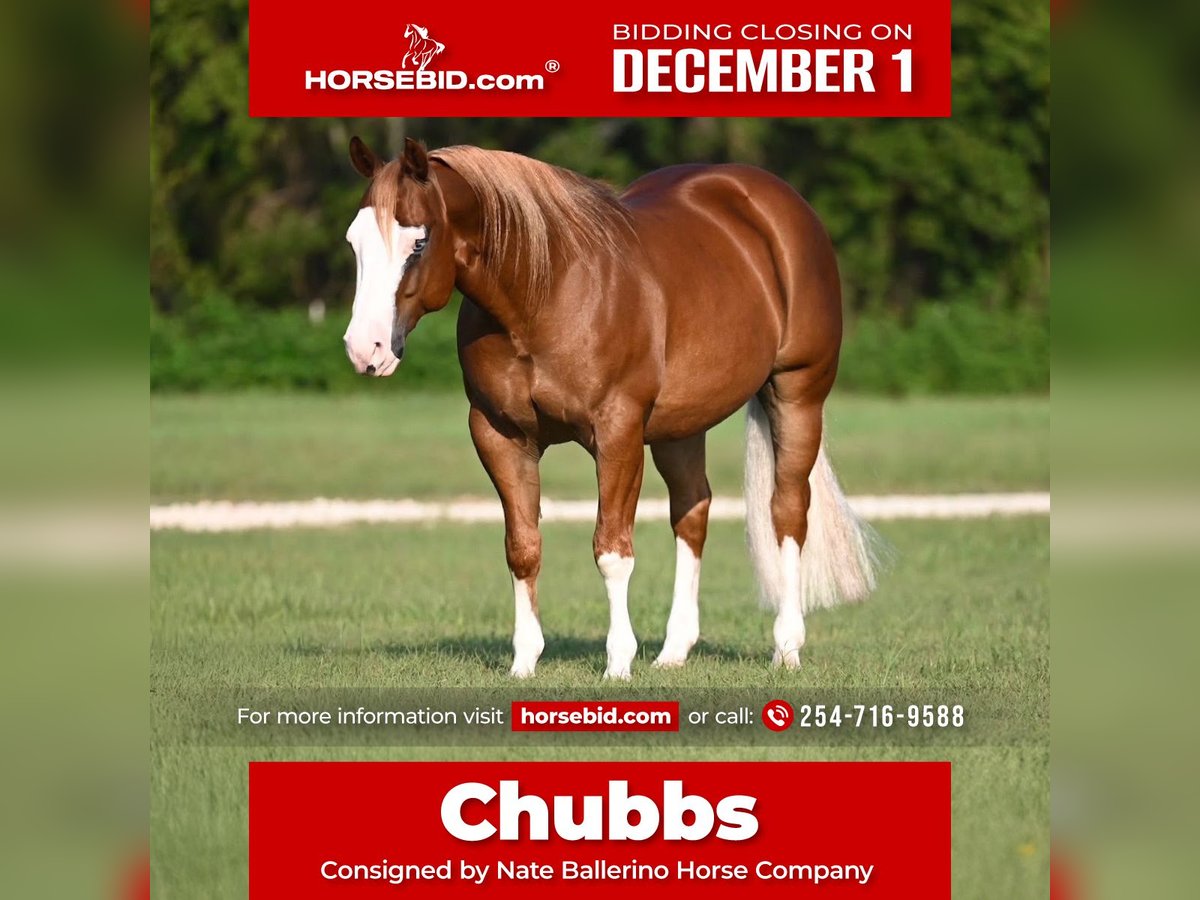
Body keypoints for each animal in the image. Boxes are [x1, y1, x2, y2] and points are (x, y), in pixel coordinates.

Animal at [341, 136, 880, 679]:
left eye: (418, 242)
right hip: (680, 426)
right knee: (692, 510)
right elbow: (522, 547)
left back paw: (786, 647)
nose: (365, 350)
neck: (542, 294)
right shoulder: (500, 435)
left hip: (797, 394)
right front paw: (524, 662)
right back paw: (674, 651)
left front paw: (618, 662)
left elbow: (612, 551)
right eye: (354, 242)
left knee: (787, 511)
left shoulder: (617, 434)